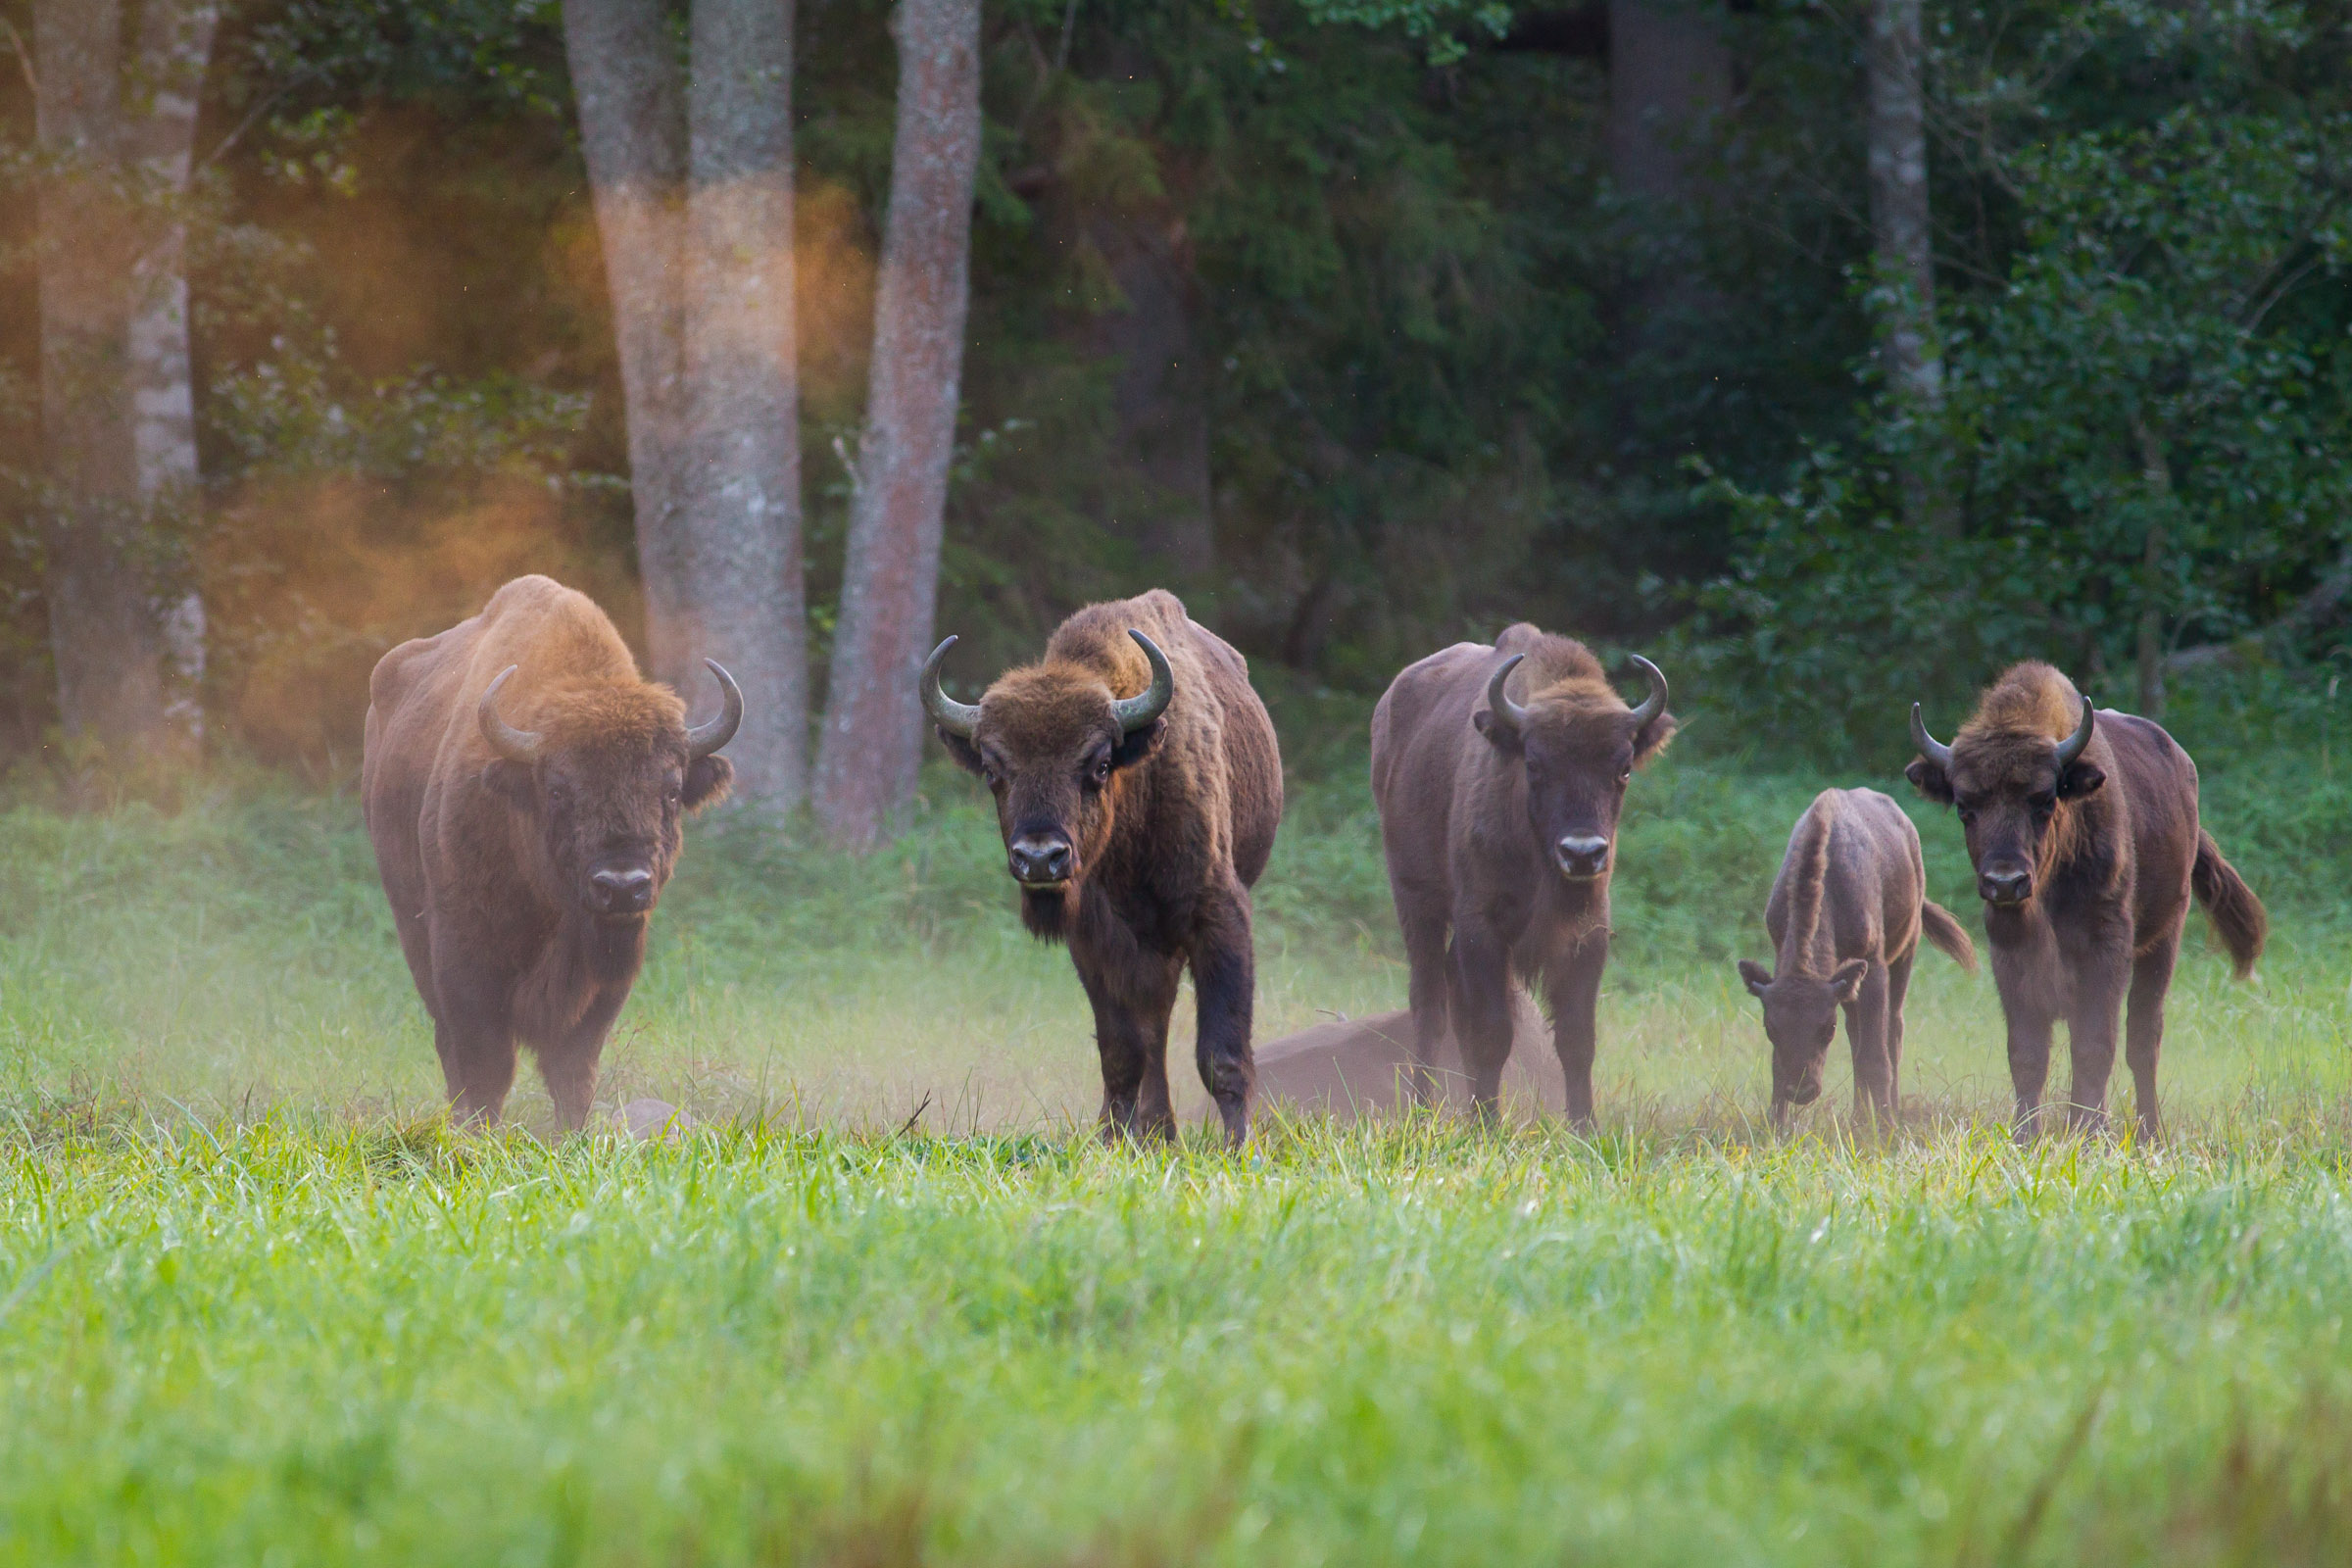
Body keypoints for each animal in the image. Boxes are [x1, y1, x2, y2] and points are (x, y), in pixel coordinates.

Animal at [360, 575, 733, 1128]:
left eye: (670, 790)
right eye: (558, 790)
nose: (621, 885)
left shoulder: (609, 975)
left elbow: (572, 1069)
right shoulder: (464, 953)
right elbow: (485, 1064)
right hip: (411, 922)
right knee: (447, 1044)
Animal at [921, 587, 1289, 1142]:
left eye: (1097, 764)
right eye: (991, 769)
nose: (1040, 858)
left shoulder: (1218, 918)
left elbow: (1221, 1054)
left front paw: (1239, 1145)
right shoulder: (1094, 941)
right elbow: (1122, 1050)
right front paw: (1115, 1137)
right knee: (1152, 1026)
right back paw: (1156, 1130)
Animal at [1373, 625, 1684, 1128]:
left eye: (1623, 768)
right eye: (1535, 764)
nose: (1582, 853)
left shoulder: (1587, 934)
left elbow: (1577, 1039)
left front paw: (1584, 1127)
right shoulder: (1482, 926)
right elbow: (1492, 1032)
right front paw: (1487, 1124)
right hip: (1415, 903)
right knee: (1429, 1006)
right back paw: (1423, 1110)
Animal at [1740, 789, 1976, 1133]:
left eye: (1827, 1028)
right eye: (1770, 1027)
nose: (1802, 1090)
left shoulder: (1872, 963)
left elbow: (1875, 1055)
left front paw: (1887, 1126)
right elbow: (1780, 1062)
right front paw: (1776, 1125)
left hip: (1906, 949)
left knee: (1893, 1028)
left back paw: (1888, 1111)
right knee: (1857, 1033)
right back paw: (1858, 1116)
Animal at [1900, 667, 2267, 1142]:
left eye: (2044, 800)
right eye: (1965, 807)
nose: (2005, 882)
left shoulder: (2104, 948)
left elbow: (2095, 1044)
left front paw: (2091, 1135)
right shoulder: (2009, 957)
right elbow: (2027, 1051)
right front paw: (2025, 1136)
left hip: (2165, 937)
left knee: (2144, 1039)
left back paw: (2149, 1131)